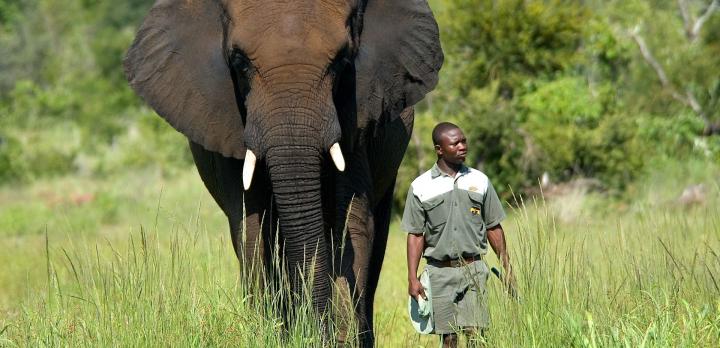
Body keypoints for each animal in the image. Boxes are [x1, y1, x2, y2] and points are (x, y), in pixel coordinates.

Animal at [124, 0, 442, 342]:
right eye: (239, 61)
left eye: (342, 60)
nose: (316, 331)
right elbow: (252, 229)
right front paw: (276, 335)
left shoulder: (357, 117)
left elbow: (348, 224)